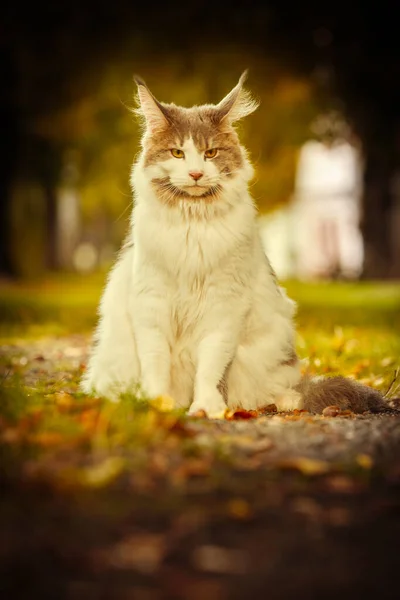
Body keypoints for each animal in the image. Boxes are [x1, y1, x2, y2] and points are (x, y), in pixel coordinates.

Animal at [81, 71, 390, 418]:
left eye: (211, 153)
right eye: (177, 153)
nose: (196, 173)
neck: (193, 226)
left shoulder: (224, 306)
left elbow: (210, 367)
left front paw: (205, 407)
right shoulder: (152, 302)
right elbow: (156, 362)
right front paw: (157, 404)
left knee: (274, 395)